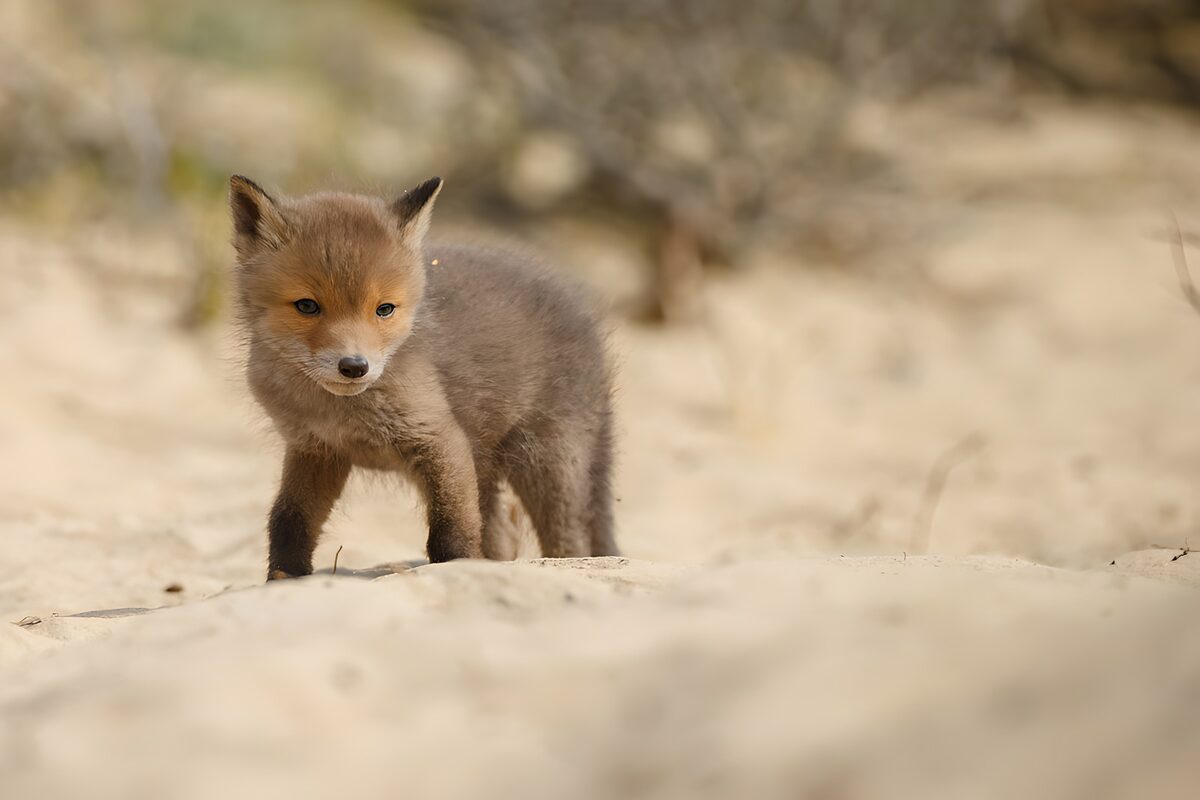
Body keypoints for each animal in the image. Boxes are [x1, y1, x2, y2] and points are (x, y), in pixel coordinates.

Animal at [229, 175, 619, 580]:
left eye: (384, 309)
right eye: (306, 306)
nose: (354, 366)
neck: (340, 411)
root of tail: (577, 305)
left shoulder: (440, 438)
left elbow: (452, 530)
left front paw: (456, 568)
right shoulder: (316, 450)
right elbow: (288, 521)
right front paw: (283, 578)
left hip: (549, 458)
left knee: (570, 541)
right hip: (488, 465)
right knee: (504, 534)